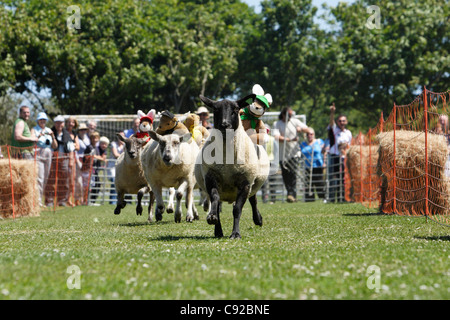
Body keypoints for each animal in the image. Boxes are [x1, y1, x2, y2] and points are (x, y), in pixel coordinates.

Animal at [194, 94, 270, 239]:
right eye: (216, 109)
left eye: (235, 109)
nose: (225, 125)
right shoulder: (211, 178)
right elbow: (215, 199)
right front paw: (212, 218)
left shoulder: (245, 183)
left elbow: (237, 210)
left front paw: (235, 234)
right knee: (218, 203)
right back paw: (218, 230)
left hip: (253, 182)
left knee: (253, 200)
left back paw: (258, 219)